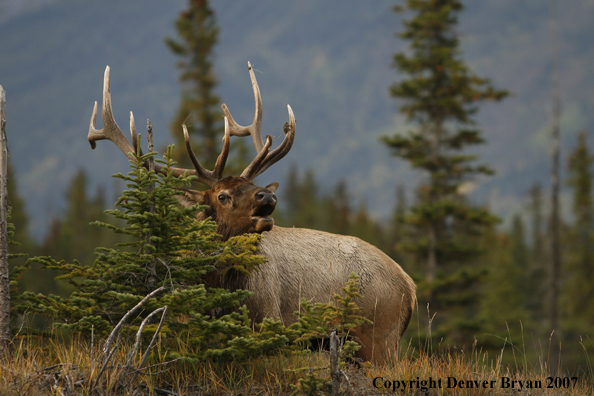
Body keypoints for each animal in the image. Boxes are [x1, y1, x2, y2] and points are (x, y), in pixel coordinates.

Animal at [88, 62, 414, 366]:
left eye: (253, 185)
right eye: (222, 195)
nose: (268, 196)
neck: (216, 286)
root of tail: (409, 287)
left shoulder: (268, 319)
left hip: (378, 338)